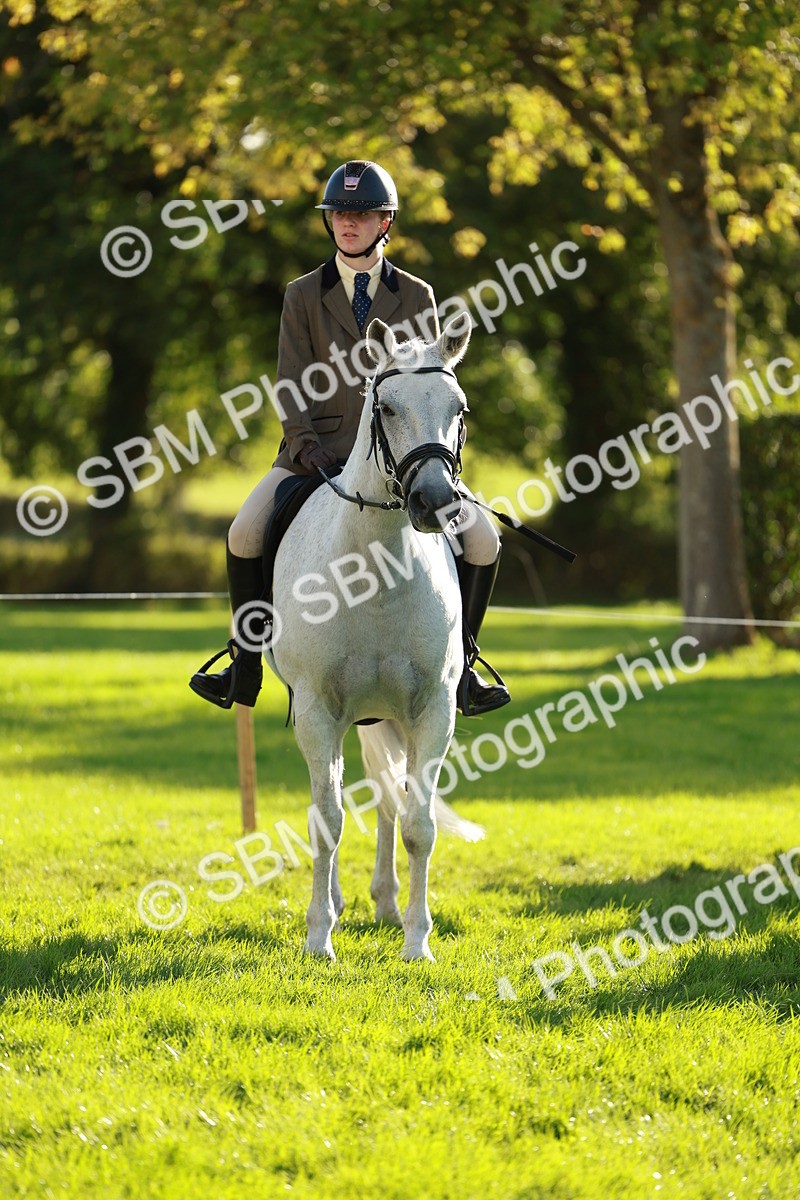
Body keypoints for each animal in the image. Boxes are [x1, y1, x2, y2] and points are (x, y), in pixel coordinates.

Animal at [265, 314, 484, 962]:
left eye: (459, 407)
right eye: (385, 407)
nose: (435, 502)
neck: (376, 574)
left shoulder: (433, 709)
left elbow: (417, 824)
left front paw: (417, 943)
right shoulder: (317, 711)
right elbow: (327, 821)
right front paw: (319, 938)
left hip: (386, 714)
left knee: (388, 802)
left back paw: (386, 905)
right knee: (336, 797)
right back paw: (339, 905)